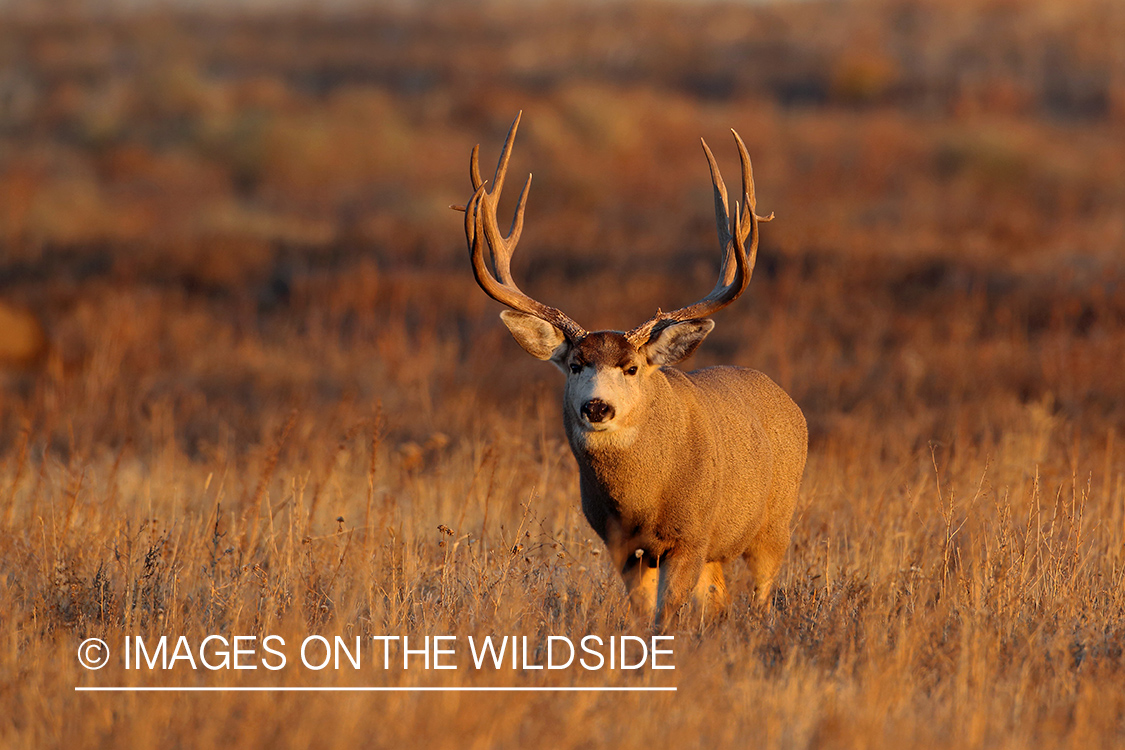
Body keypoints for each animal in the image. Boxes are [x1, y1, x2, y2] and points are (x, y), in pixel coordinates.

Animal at [452, 111, 805, 629]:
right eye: (575, 364)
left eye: (633, 367)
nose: (597, 407)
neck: (643, 498)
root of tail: (783, 396)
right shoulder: (621, 546)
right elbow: (642, 611)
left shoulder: (691, 537)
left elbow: (667, 612)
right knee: (719, 596)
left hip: (774, 525)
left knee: (761, 590)